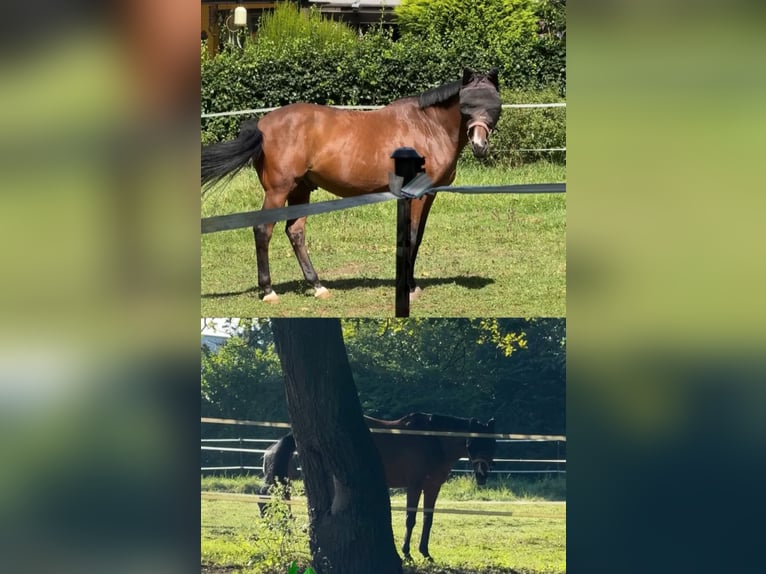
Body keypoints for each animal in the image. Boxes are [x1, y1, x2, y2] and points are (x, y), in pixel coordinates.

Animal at [201, 68, 502, 303]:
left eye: (494, 103)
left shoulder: (428, 195)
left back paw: (318, 286)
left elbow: (417, 237)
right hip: (278, 190)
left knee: (295, 232)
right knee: (263, 230)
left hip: (300, 189)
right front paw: (409, 288)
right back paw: (268, 291)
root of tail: (262, 123)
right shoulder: (416, 195)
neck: (428, 126)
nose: (480, 145)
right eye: (467, 104)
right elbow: (412, 236)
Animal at [259, 412, 496, 562]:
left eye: (492, 443)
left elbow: (428, 520)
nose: (483, 475)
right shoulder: (414, 485)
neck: (431, 440)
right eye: (473, 443)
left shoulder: (432, 487)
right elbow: (411, 519)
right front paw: (407, 552)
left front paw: (425, 552)